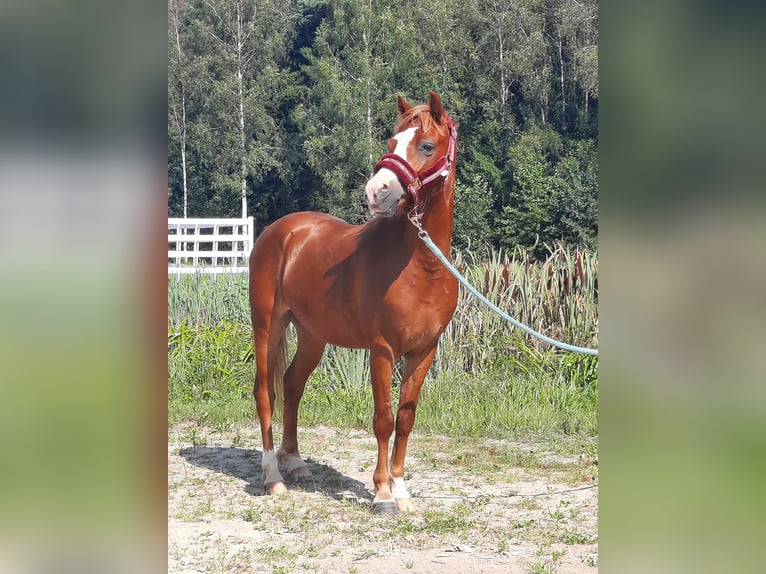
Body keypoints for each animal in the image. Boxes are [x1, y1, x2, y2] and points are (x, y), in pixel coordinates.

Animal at [249, 91, 460, 516]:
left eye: (427, 146)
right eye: (392, 142)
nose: (376, 191)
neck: (421, 265)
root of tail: (280, 230)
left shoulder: (423, 352)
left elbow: (405, 419)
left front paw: (401, 489)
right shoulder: (382, 350)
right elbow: (382, 419)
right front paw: (382, 494)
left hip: (313, 335)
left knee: (292, 385)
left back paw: (295, 463)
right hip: (267, 326)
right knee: (266, 392)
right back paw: (273, 477)